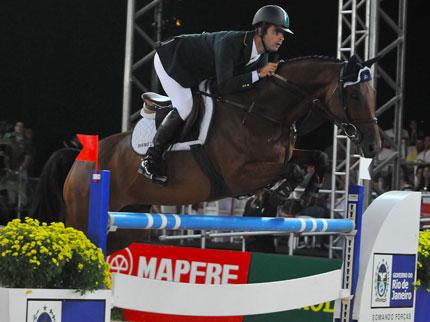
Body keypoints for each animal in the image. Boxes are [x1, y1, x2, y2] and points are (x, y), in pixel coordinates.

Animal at [36, 54, 382, 254]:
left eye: (373, 93)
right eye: (354, 94)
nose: (373, 147)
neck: (261, 110)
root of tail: (79, 159)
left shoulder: (285, 153)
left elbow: (316, 159)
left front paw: (304, 197)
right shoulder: (239, 176)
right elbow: (292, 170)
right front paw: (279, 194)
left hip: (128, 225)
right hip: (83, 217)